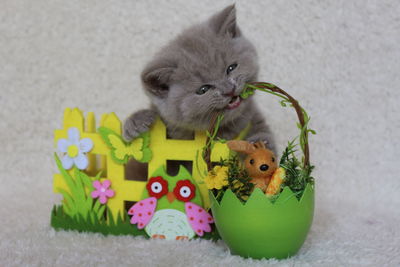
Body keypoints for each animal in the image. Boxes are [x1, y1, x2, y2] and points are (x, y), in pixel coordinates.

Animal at [124, 4, 276, 151]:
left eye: (231, 68)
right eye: (203, 89)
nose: (229, 90)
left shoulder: (254, 117)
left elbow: (262, 134)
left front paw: (260, 144)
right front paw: (136, 122)